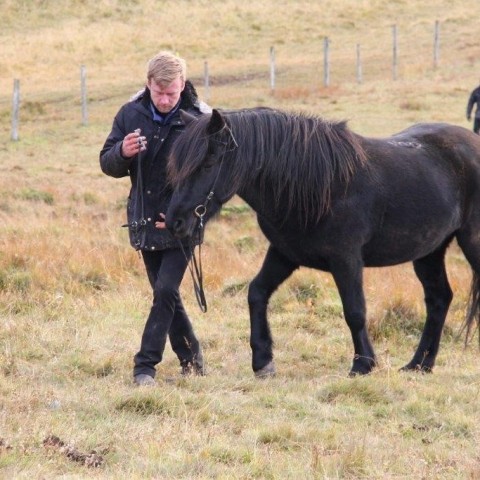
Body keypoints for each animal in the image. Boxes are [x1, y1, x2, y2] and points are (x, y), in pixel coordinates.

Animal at [165, 109, 480, 378]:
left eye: (207, 164)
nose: (174, 222)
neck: (318, 185)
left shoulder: (346, 259)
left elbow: (355, 311)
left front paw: (363, 365)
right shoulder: (284, 254)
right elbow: (256, 293)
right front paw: (263, 361)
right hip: (429, 252)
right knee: (439, 299)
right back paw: (419, 364)